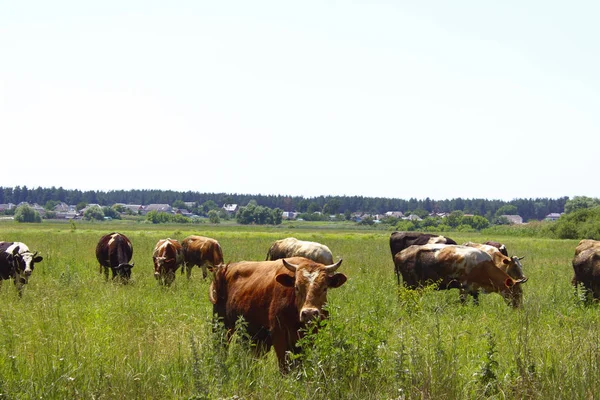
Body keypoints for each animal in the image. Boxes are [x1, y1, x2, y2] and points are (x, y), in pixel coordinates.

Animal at [209, 256, 346, 372]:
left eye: (325, 288)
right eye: (296, 287)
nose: (309, 313)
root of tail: (224, 268)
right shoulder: (279, 335)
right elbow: (284, 366)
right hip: (221, 326)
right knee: (221, 348)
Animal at [394, 244, 524, 306]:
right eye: (515, 293)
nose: (519, 308)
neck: (482, 266)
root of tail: (399, 254)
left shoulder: (474, 289)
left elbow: (476, 303)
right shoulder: (463, 288)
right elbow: (463, 304)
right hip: (410, 285)